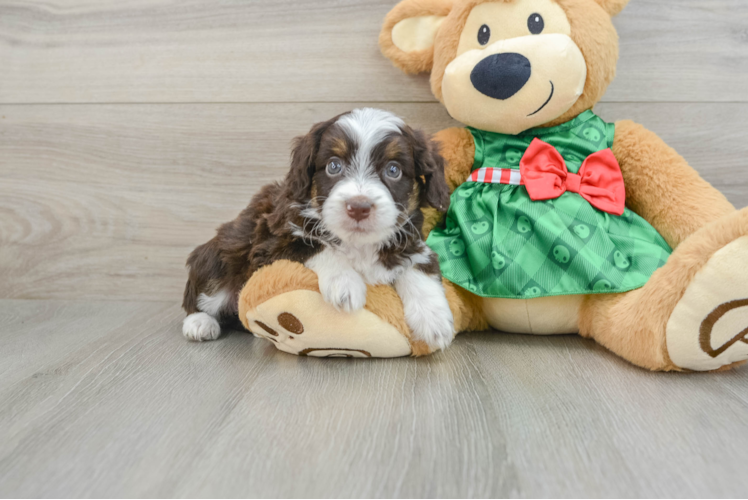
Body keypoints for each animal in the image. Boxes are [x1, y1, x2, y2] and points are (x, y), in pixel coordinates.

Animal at [181, 109, 456, 352]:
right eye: (334, 166)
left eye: (393, 170)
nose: (358, 207)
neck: (358, 243)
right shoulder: (269, 244)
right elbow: (315, 245)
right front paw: (345, 284)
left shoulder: (411, 240)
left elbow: (419, 266)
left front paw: (435, 320)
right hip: (220, 256)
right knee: (202, 296)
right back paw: (199, 323)